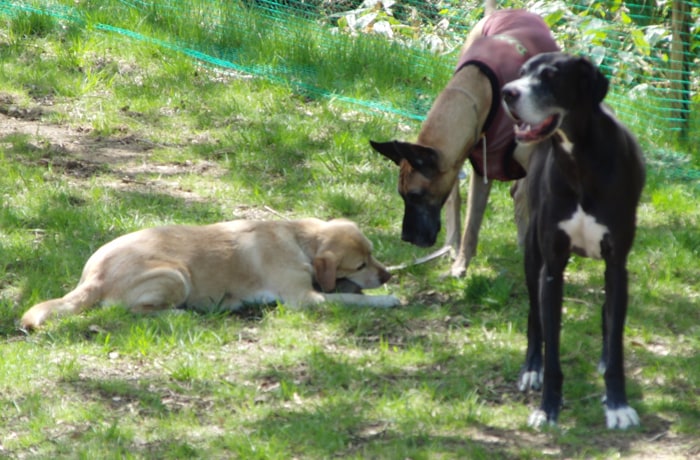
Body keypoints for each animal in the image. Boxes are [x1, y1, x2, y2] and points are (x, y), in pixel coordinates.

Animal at [504, 54, 644, 432]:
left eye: (551, 76)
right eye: (521, 73)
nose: (507, 92)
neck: (579, 161)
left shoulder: (617, 265)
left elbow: (616, 334)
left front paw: (617, 405)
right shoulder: (551, 268)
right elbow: (551, 343)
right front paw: (547, 408)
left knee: (608, 315)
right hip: (531, 255)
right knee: (534, 318)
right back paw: (531, 368)